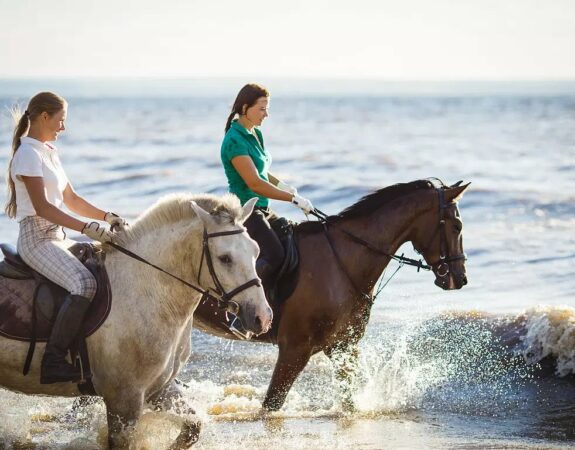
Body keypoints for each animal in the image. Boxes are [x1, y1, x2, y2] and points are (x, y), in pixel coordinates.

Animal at [0, 192, 272, 446]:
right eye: (225, 258)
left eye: (256, 250)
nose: (263, 317)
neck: (147, 288)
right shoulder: (123, 400)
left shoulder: (159, 388)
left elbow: (193, 426)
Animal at [194, 179, 468, 412]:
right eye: (457, 226)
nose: (460, 278)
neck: (343, 261)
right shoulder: (295, 348)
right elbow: (271, 404)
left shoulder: (342, 346)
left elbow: (349, 403)